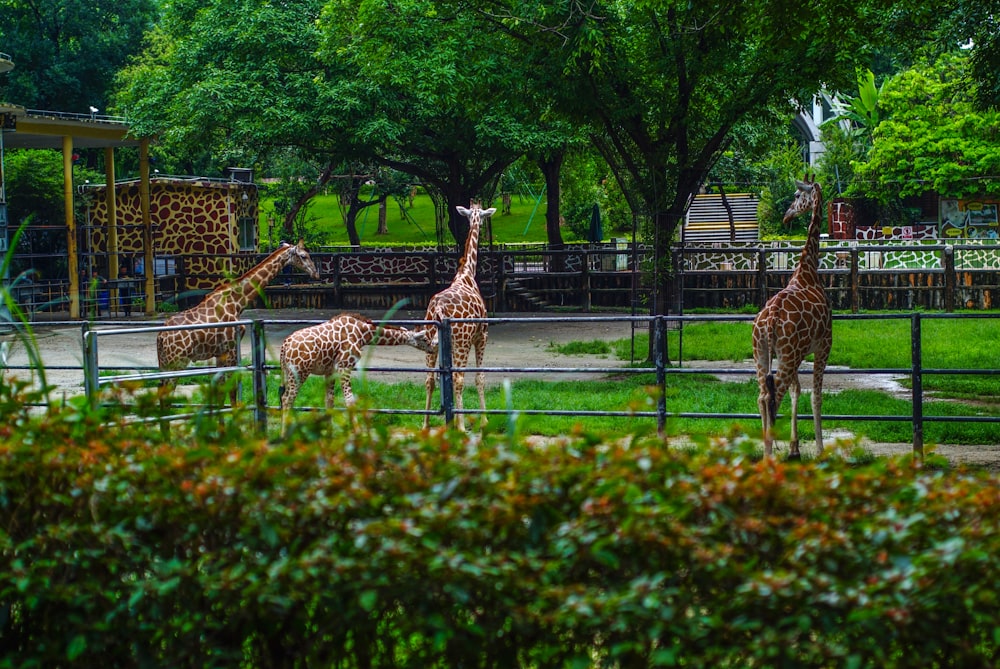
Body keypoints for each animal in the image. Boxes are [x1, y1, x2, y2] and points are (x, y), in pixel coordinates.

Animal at [158, 240, 318, 402]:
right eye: (303, 256)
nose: (315, 273)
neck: (237, 302)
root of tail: (161, 336)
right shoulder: (232, 349)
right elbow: (232, 390)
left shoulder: (220, 353)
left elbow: (221, 391)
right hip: (178, 361)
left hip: (165, 362)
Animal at [282, 312, 438, 428]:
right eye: (424, 339)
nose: (432, 348)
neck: (362, 333)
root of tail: (285, 346)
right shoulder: (344, 365)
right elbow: (350, 401)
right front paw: (356, 433)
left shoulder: (330, 371)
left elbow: (329, 401)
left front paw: (329, 435)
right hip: (300, 373)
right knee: (288, 400)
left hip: (289, 373)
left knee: (284, 397)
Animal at [420, 201, 494, 430]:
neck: (467, 274)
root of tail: (437, 308)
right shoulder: (481, 336)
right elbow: (479, 377)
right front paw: (484, 420)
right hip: (462, 341)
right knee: (459, 378)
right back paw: (460, 427)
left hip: (430, 340)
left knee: (430, 379)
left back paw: (425, 424)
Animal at [752, 175, 836, 460]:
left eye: (798, 197)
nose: (787, 216)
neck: (807, 272)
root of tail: (769, 322)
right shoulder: (824, 345)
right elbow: (816, 396)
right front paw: (820, 449)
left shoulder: (797, 353)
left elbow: (796, 391)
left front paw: (794, 447)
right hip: (788, 354)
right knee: (772, 395)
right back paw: (768, 455)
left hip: (762, 351)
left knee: (763, 394)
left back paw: (768, 450)